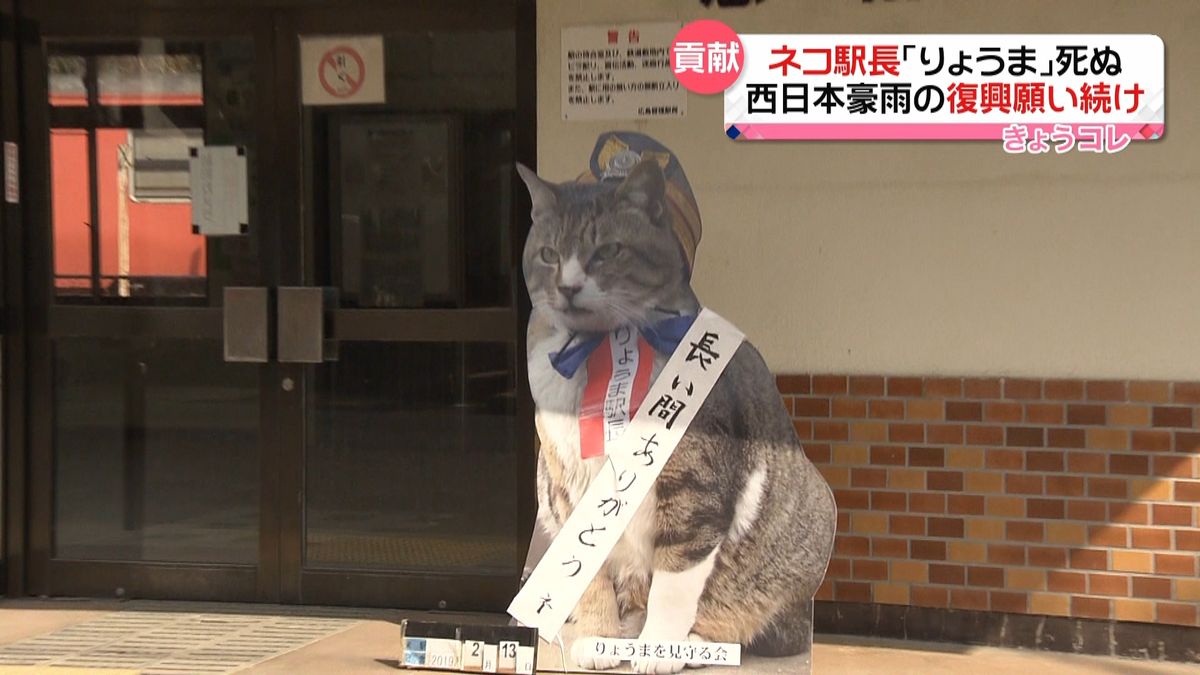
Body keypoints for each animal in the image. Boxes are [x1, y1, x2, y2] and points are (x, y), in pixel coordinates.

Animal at [516, 158, 835, 672]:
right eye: (548, 254)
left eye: (608, 251)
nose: (567, 286)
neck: (604, 350)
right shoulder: (567, 488)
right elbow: (586, 571)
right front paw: (598, 640)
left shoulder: (693, 488)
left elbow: (675, 577)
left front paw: (660, 649)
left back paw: (696, 642)